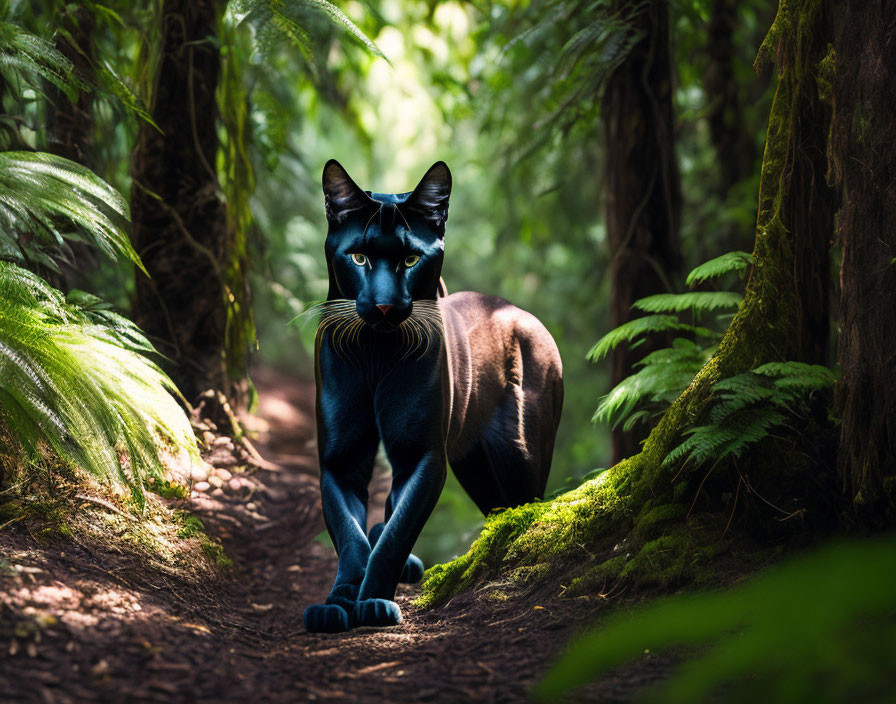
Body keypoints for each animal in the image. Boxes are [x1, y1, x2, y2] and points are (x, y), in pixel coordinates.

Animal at [304, 161, 564, 632]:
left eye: (411, 259)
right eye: (358, 257)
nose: (385, 306)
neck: (376, 351)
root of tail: (519, 310)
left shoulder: (421, 455)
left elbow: (396, 533)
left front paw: (374, 602)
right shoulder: (340, 459)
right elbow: (351, 536)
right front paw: (337, 602)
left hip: (520, 456)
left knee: (521, 508)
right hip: (475, 463)